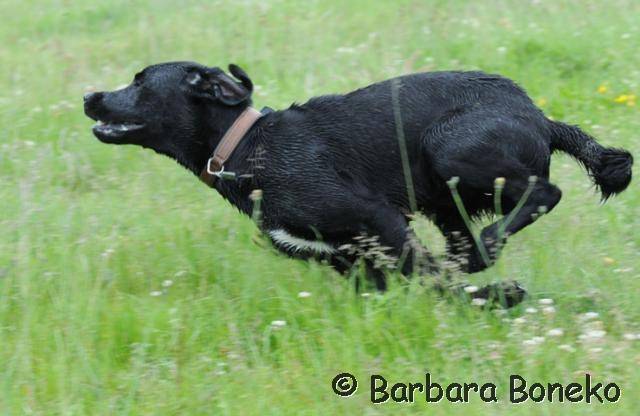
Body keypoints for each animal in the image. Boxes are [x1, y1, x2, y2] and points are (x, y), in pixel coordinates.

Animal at [85, 61, 636, 306]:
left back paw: (490, 245)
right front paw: (491, 296)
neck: (245, 148)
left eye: (139, 82)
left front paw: (499, 295)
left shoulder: (379, 219)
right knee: (462, 249)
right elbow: (424, 282)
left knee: (543, 194)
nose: (90, 96)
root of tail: (540, 119)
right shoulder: (353, 260)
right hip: (442, 199)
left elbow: (432, 279)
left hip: (448, 147)